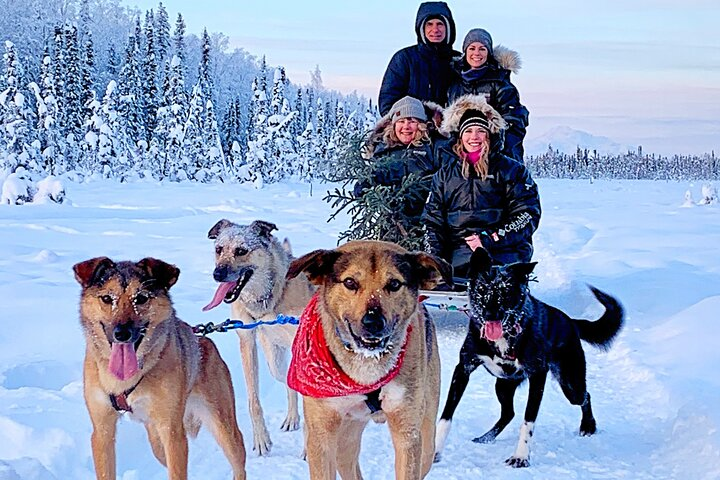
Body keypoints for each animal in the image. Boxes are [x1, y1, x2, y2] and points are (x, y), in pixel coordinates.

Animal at [74, 256, 246, 480]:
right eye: (106, 298)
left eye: (141, 298)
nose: (122, 333)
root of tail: (203, 339)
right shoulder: (102, 430)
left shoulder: (172, 432)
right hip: (156, 439)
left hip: (223, 426)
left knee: (238, 463)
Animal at [202, 219, 316, 456]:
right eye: (219, 249)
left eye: (241, 250)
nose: (218, 274)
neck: (268, 300)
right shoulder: (247, 341)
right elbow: (253, 400)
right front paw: (262, 439)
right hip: (276, 363)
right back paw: (292, 418)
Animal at [286, 240, 450, 480]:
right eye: (350, 282)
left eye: (394, 283)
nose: (373, 322)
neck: (366, 369)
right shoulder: (322, 434)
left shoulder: (407, 433)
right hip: (345, 436)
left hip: (425, 437)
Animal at [434, 249, 624, 466]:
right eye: (482, 288)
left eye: (506, 291)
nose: (490, 314)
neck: (506, 336)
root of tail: (570, 322)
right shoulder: (463, 368)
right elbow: (446, 415)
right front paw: (435, 452)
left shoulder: (538, 375)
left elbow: (528, 420)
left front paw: (521, 456)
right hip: (503, 386)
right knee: (508, 413)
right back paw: (486, 437)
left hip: (570, 384)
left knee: (585, 397)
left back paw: (588, 426)